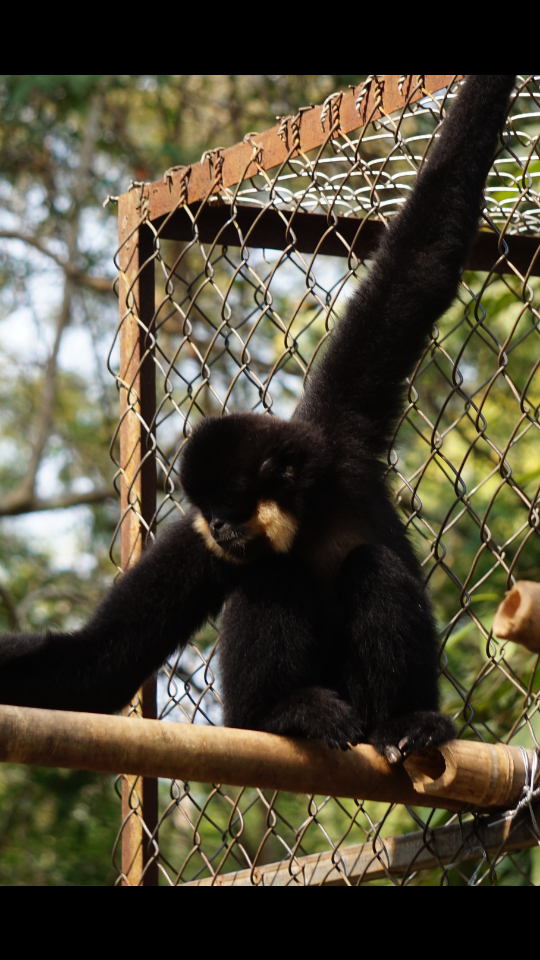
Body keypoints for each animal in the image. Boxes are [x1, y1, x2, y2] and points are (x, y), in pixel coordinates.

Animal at [0, 75, 517, 763]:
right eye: (207, 510)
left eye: (229, 503)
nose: (219, 526)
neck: (302, 514)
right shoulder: (195, 543)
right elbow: (98, 660)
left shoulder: (341, 435)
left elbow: (425, 252)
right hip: (245, 701)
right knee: (268, 579)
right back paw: (285, 712)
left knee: (371, 567)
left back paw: (406, 723)